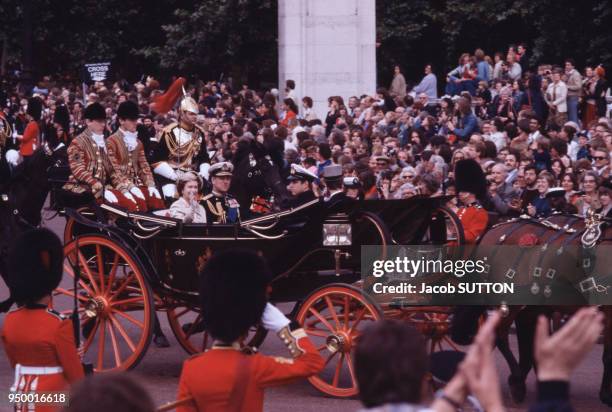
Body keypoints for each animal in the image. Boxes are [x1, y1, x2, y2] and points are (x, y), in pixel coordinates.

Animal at [478, 212, 612, 406]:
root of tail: (494, 229)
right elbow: (609, 356)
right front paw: (606, 395)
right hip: (510, 303)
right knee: (499, 335)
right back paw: (516, 382)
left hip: (532, 306)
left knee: (528, 345)